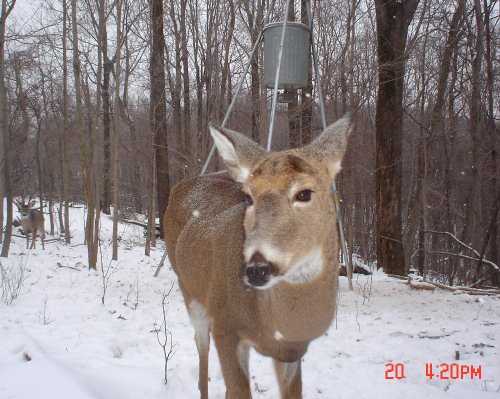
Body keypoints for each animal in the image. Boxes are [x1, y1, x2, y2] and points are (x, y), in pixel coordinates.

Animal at [164, 114, 352, 398]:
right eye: (249, 197)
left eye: (304, 193)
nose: (257, 268)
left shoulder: (292, 351)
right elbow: (239, 390)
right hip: (189, 290)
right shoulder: (226, 327)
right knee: (201, 346)